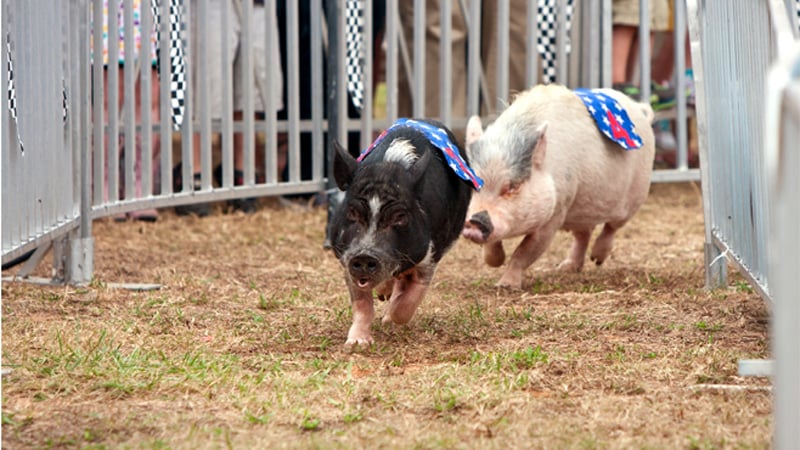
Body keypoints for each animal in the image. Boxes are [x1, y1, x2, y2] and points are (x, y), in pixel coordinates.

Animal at [462, 83, 656, 288]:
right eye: (472, 184)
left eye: (513, 186)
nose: (474, 221)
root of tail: (638, 108)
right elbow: (493, 245)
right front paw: (495, 262)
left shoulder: (555, 213)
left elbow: (524, 252)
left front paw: (505, 286)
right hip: (582, 210)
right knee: (583, 235)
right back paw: (566, 268)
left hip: (635, 195)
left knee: (611, 227)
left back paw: (596, 259)